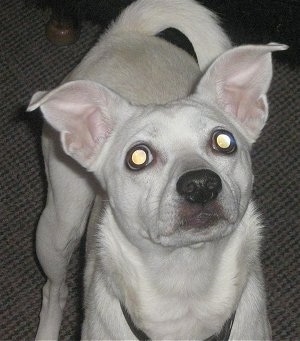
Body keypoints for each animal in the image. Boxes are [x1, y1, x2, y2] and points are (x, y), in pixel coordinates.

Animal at [28, 0, 286, 338]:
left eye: (224, 141)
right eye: (138, 157)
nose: (200, 184)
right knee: (54, 291)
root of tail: (125, 35)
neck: (185, 285)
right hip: (59, 227)